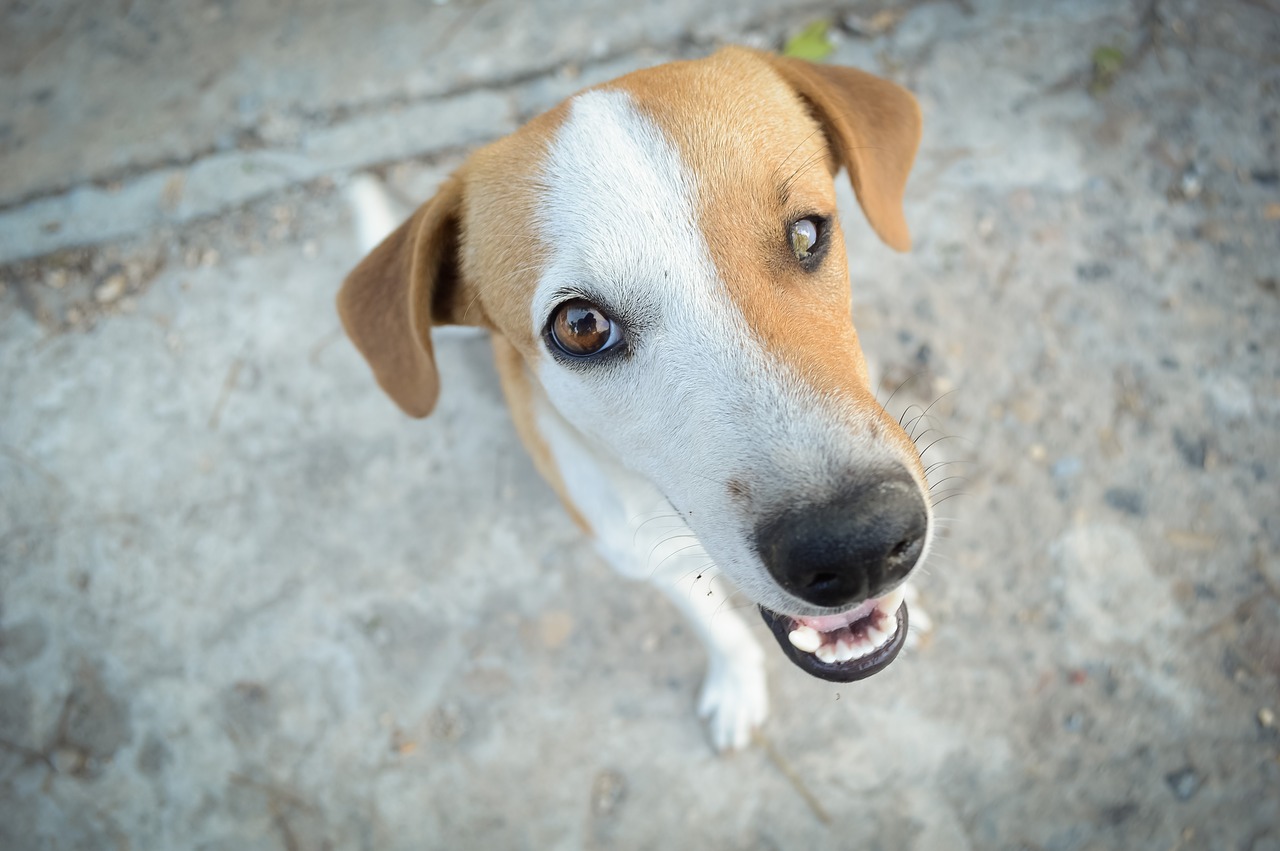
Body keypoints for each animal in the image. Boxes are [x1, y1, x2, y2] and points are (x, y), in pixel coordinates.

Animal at [337, 47, 931, 752]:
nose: (858, 544)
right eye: (580, 326)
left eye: (808, 235)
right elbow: (715, 626)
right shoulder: (643, 557)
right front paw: (737, 681)